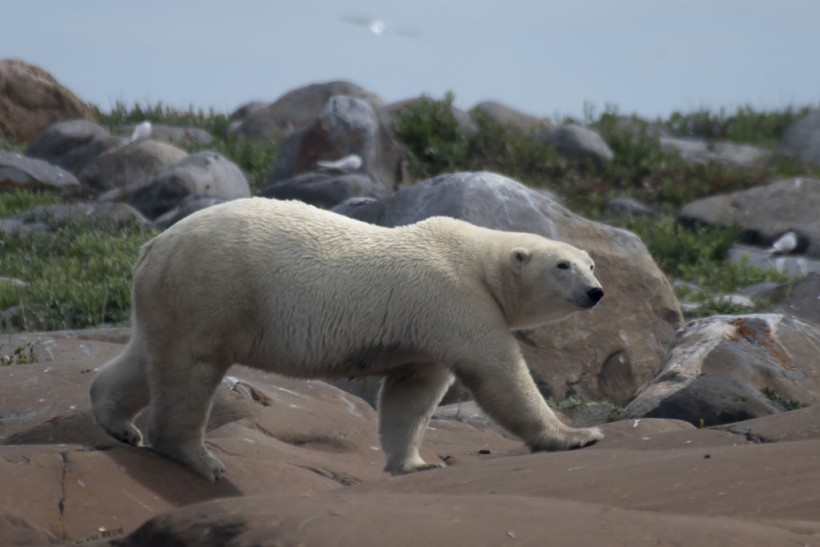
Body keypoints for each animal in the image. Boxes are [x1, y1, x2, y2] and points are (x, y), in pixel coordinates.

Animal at [89, 197, 604, 480]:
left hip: (171, 295)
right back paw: (199, 458)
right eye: (563, 265)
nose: (596, 292)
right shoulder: (456, 299)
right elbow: (500, 375)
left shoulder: (427, 328)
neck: (478, 260)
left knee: (148, 356)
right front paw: (578, 435)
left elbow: (412, 393)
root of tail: (154, 245)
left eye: (591, 263)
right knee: (191, 368)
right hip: (213, 286)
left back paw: (118, 422)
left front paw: (416, 464)